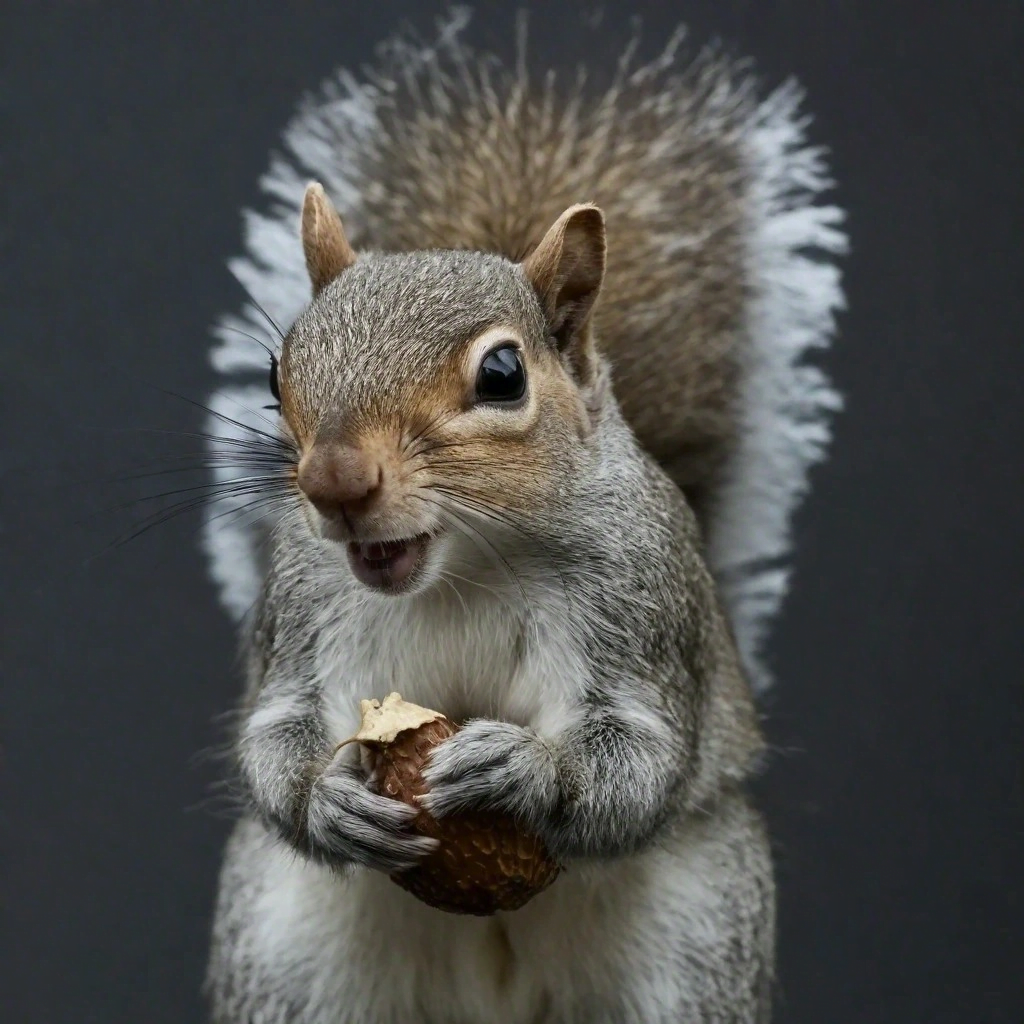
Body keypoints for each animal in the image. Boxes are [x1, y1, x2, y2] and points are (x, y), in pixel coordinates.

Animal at [201, 12, 846, 1024]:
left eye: (502, 375)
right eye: (278, 372)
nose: (336, 482)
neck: (464, 565)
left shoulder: (640, 612)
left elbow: (639, 763)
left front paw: (525, 774)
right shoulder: (300, 617)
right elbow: (275, 731)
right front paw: (327, 797)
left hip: (697, 938)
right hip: (286, 954)